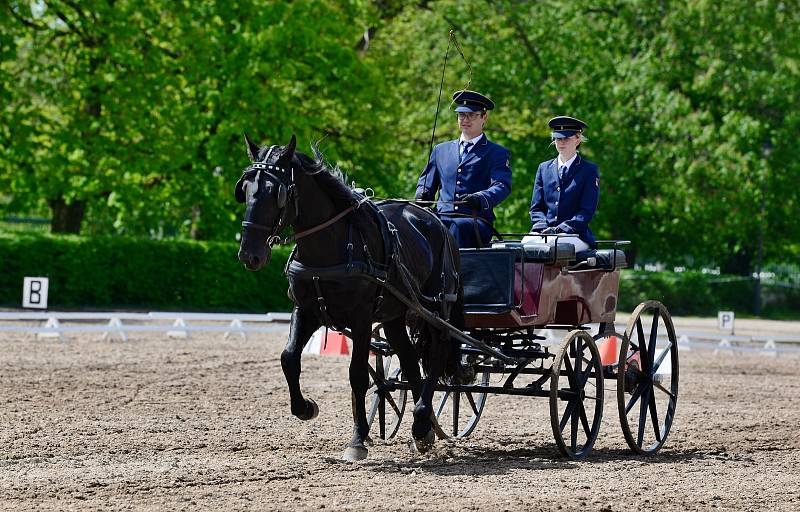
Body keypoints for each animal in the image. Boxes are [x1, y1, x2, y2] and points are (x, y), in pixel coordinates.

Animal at [234, 133, 462, 460]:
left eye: (275, 193)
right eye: (245, 189)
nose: (249, 255)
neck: (331, 245)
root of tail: (435, 220)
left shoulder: (362, 317)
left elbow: (357, 375)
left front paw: (357, 439)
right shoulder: (306, 310)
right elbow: (289, 358)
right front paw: (306, 408)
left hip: (435, 309)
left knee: (437, 353)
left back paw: (421, 420)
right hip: (395, 315)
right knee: (409, 359)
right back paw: (423, 428)